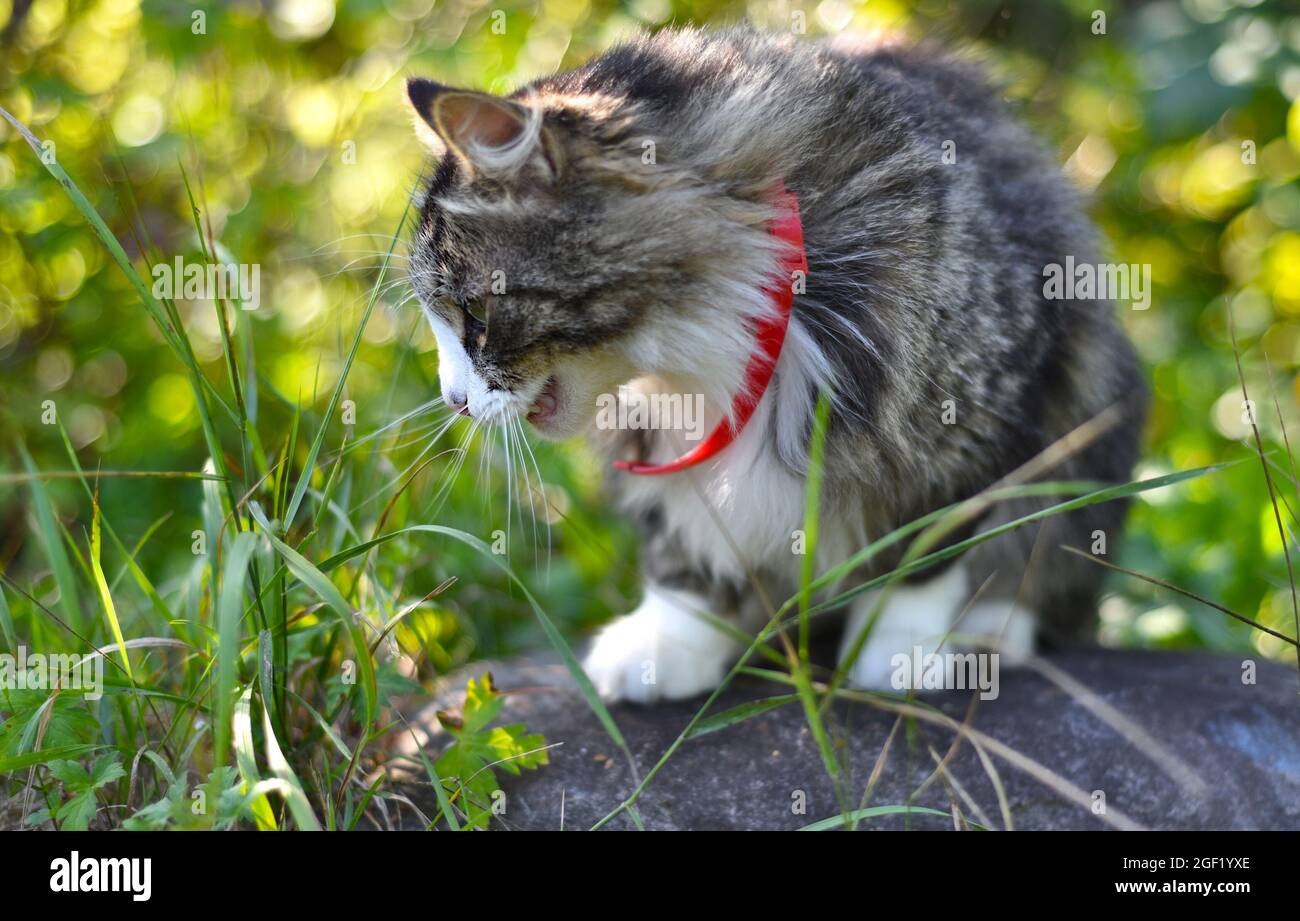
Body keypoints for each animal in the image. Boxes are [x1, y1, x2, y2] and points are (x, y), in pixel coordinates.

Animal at [400, 26, 1144, 707]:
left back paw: (989, 630)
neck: (702, 357)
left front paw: (900, 649)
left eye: (473, 316)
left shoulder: (977, 418)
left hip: (1097, 406)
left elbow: (921, 551)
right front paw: (670, 643)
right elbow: (683, 558)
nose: (452, 399)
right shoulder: (658, 456)